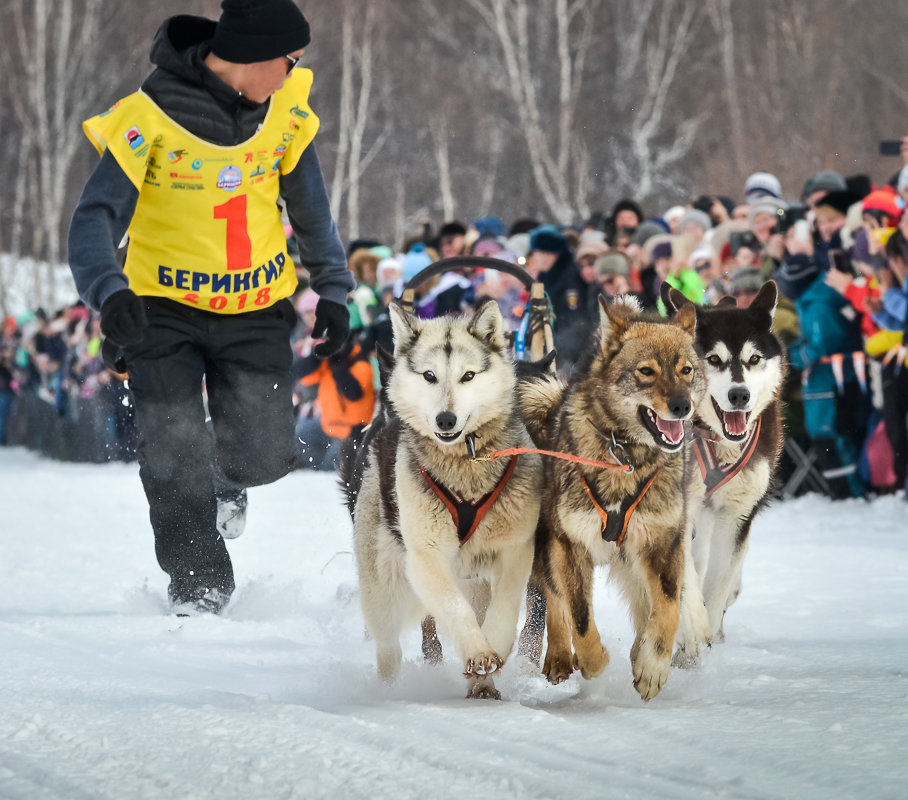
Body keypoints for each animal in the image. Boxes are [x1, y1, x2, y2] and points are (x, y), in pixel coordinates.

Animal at [524, 296, 708, 700]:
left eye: (686, 370)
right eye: (646, 371)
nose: (682, 405)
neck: (626, 455)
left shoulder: (664, 541)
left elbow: (668, 607)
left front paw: (652, 666)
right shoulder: (572, 544)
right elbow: (578, 615)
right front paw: (593, 661)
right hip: (549, 544)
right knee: (555, 600)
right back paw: (559, 657)